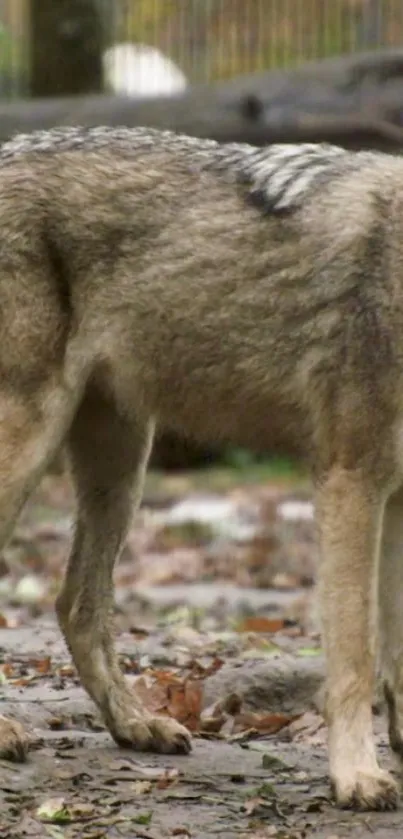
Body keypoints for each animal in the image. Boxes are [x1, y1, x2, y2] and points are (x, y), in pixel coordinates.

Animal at [0, 126, 403, 812]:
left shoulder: (398, 497)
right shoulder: (352, 480)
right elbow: (357, 652)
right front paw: (357, 776)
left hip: (121, 468)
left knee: (74, 603)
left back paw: (136, 723)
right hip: (29, 444)